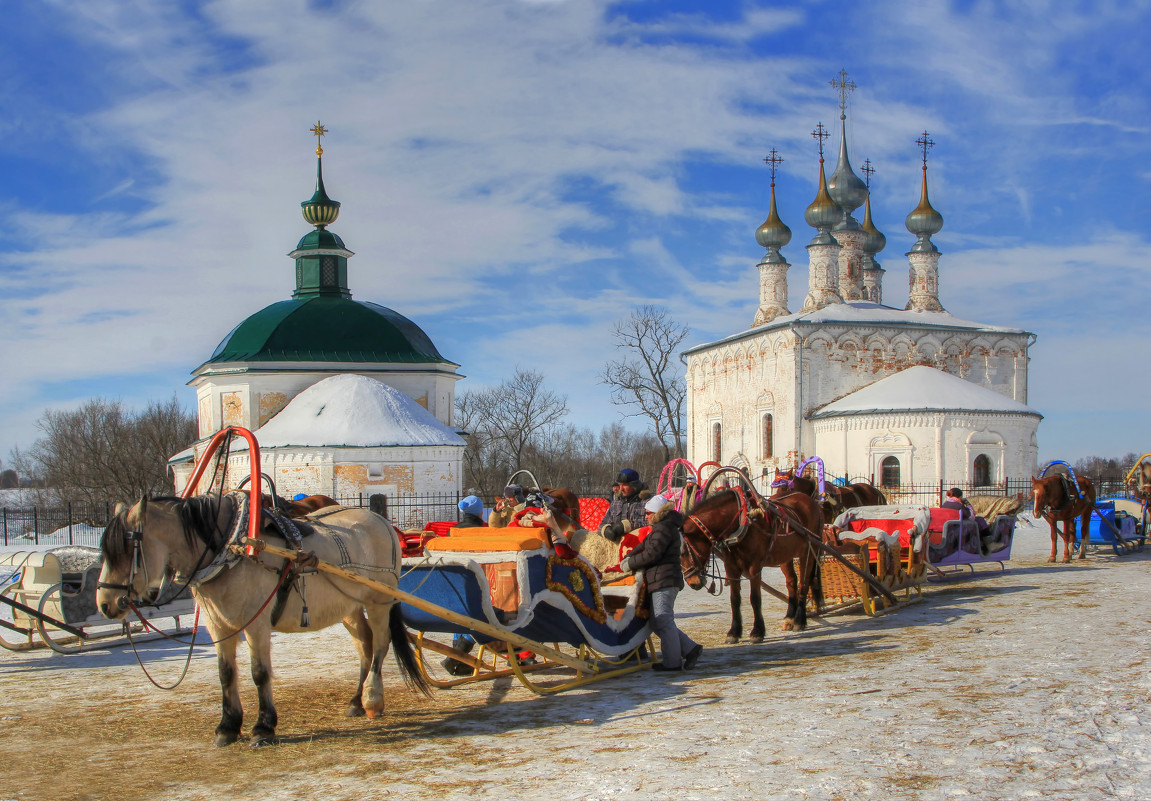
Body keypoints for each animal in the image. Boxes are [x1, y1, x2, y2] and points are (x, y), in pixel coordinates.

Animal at [95, 490, 432, 745]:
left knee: (380, 645)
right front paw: (228, 726)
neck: (232, 549)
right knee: (365, 645)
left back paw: (373, 699)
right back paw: (355, 702)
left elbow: (259, 673)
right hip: (348, 607)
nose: (106, 604)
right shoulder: (219, 625)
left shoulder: (255, 624)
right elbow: (226, 673)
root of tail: (382, 522)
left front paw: (263, 727)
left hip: (378, 601)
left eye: (128, 547)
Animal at [676, 485, 824, 639]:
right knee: (791, 582)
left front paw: (757, 631)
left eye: (683, 552)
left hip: (809, 551)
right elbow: (734, 599)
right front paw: (734, 631)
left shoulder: (755, 566)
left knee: (804, 583)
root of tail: (811, 501)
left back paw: (800, 620)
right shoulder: (731, 566)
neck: (739, 521)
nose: (692, 583)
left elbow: (755, 598)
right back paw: (789, 617)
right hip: (786, 555)